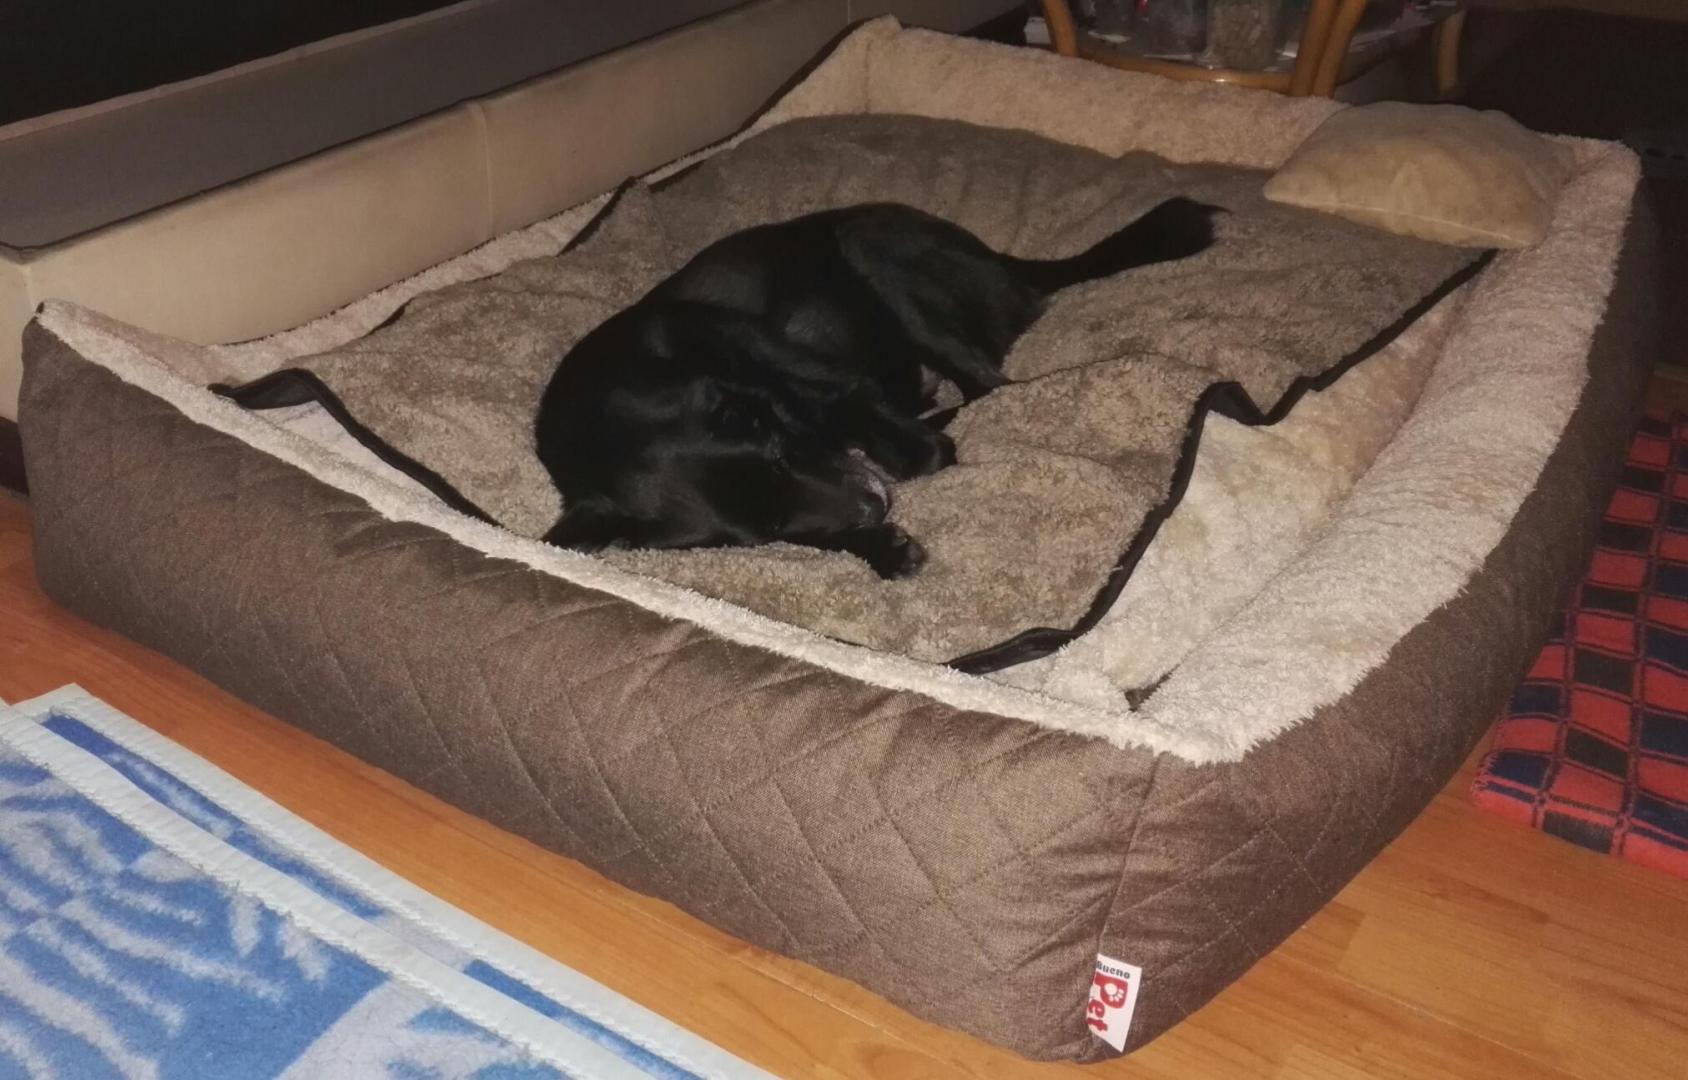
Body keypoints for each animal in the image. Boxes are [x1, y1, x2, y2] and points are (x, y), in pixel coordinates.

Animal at [535, 196, 1218, 578]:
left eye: (778, 453)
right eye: (766, 532)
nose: (873, 510)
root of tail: (1004, 263)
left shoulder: (818, 381)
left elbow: (902, 438)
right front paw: (880, 549)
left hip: (881, 258)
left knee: (990, 386)